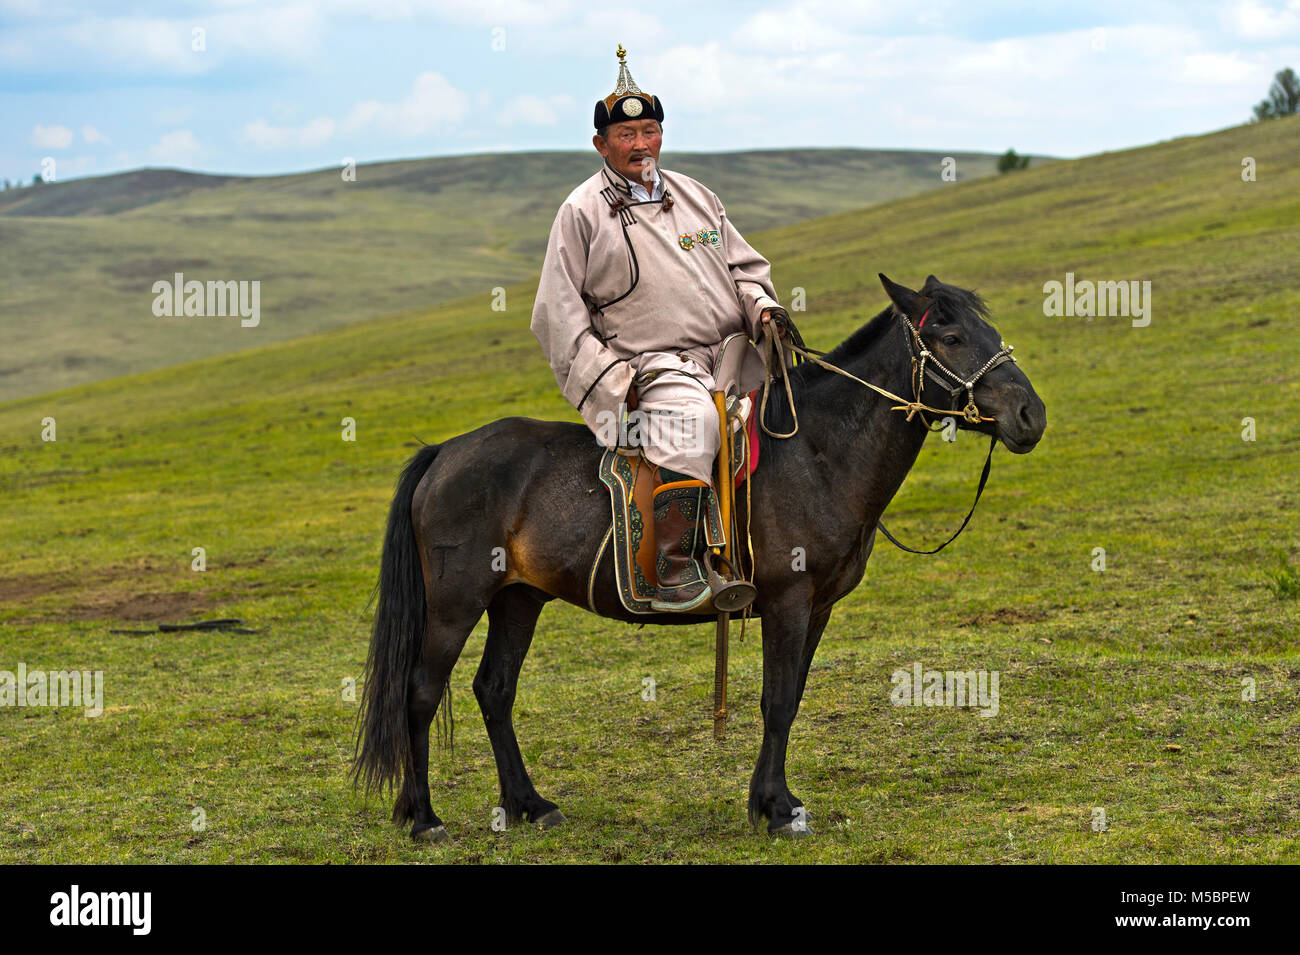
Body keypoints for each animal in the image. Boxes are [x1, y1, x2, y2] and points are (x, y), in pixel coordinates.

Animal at [353, 272, 1045, 841]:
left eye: (990, 330)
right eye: (951, 336)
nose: (1030, 415)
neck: (819, 453)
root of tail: (444, 452)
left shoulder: (818, 606)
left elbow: (791, 696)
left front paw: (772, 802)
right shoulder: (788, 601)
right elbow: (776, 701)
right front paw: (775, 809)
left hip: (519, 599)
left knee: (494, 690)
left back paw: (530, 805)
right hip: (455, 603)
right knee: (420, 692)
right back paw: (424, 819)